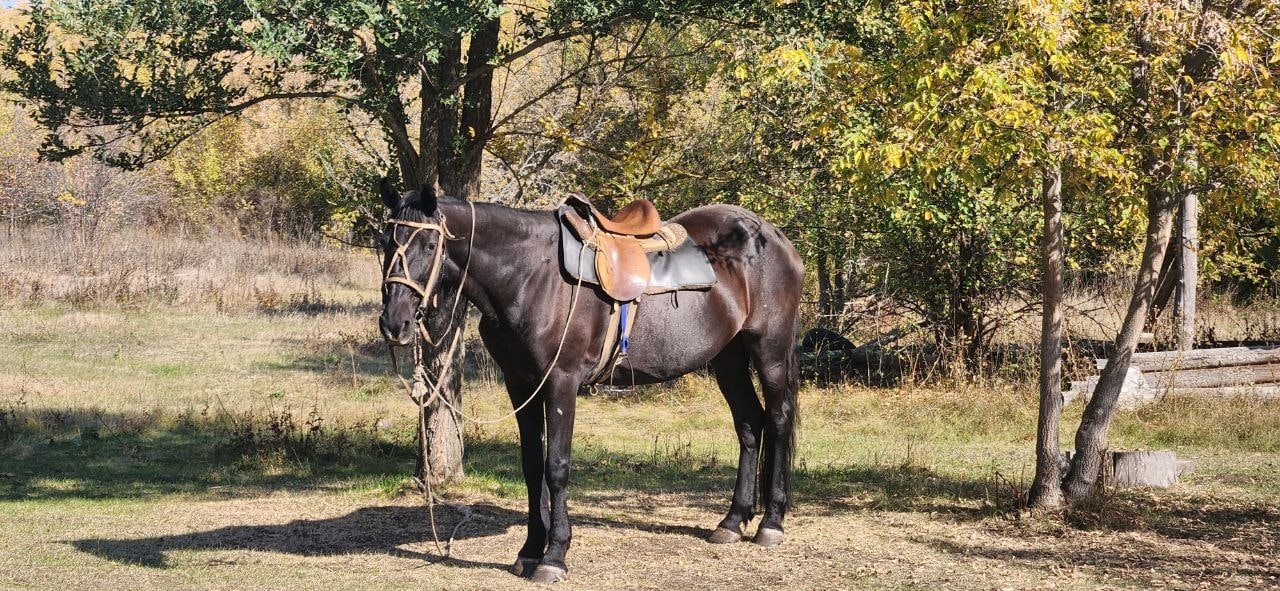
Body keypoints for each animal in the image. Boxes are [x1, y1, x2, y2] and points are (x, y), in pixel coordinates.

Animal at [373, 182, 803, 583]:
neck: (530, 275)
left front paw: (554, 556)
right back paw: (732, 521)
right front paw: (529, 551)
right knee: (749, 424)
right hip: (728, 357)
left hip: (769, 350)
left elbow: (556, 466)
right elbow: (532, 466)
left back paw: (770, 524)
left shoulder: (560, 384)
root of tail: (775, 238)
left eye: (430, 244)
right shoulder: (521, 385)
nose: (395, 323)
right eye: (386, 241)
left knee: (779, 419)